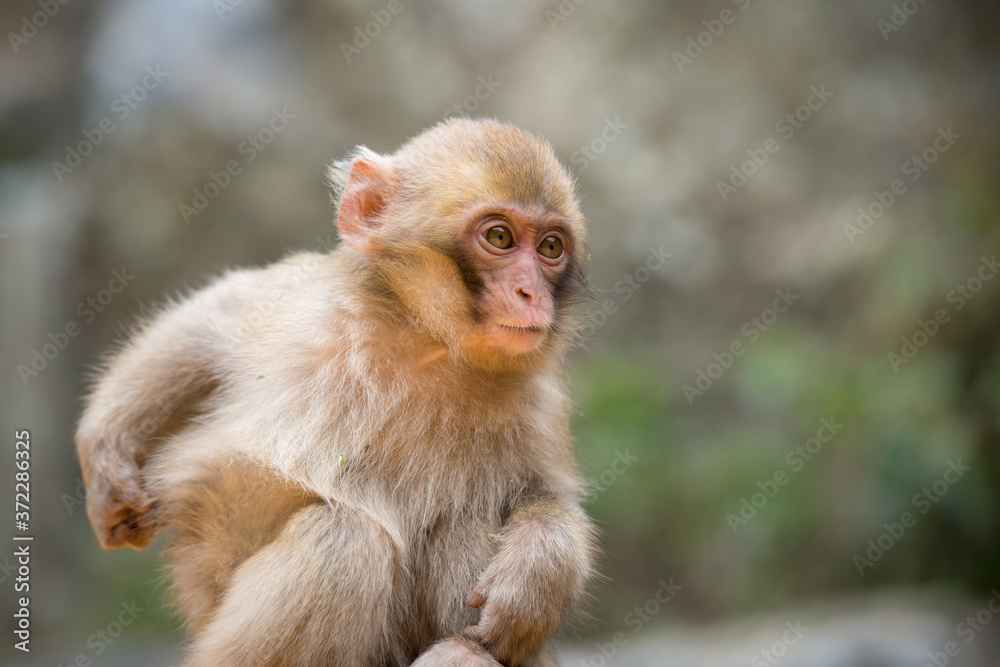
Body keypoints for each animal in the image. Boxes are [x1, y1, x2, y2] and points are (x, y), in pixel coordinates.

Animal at [76, 117, 600, 664]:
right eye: (499, 236)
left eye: (550, 248)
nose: (531, 294)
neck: (428, 343)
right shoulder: (305, 308)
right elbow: (212, 320)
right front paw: (106, 457)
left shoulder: (539, 405)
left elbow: (548, 499)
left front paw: (539, 570)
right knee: (344, 541)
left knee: (466, 518)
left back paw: (462, 651)